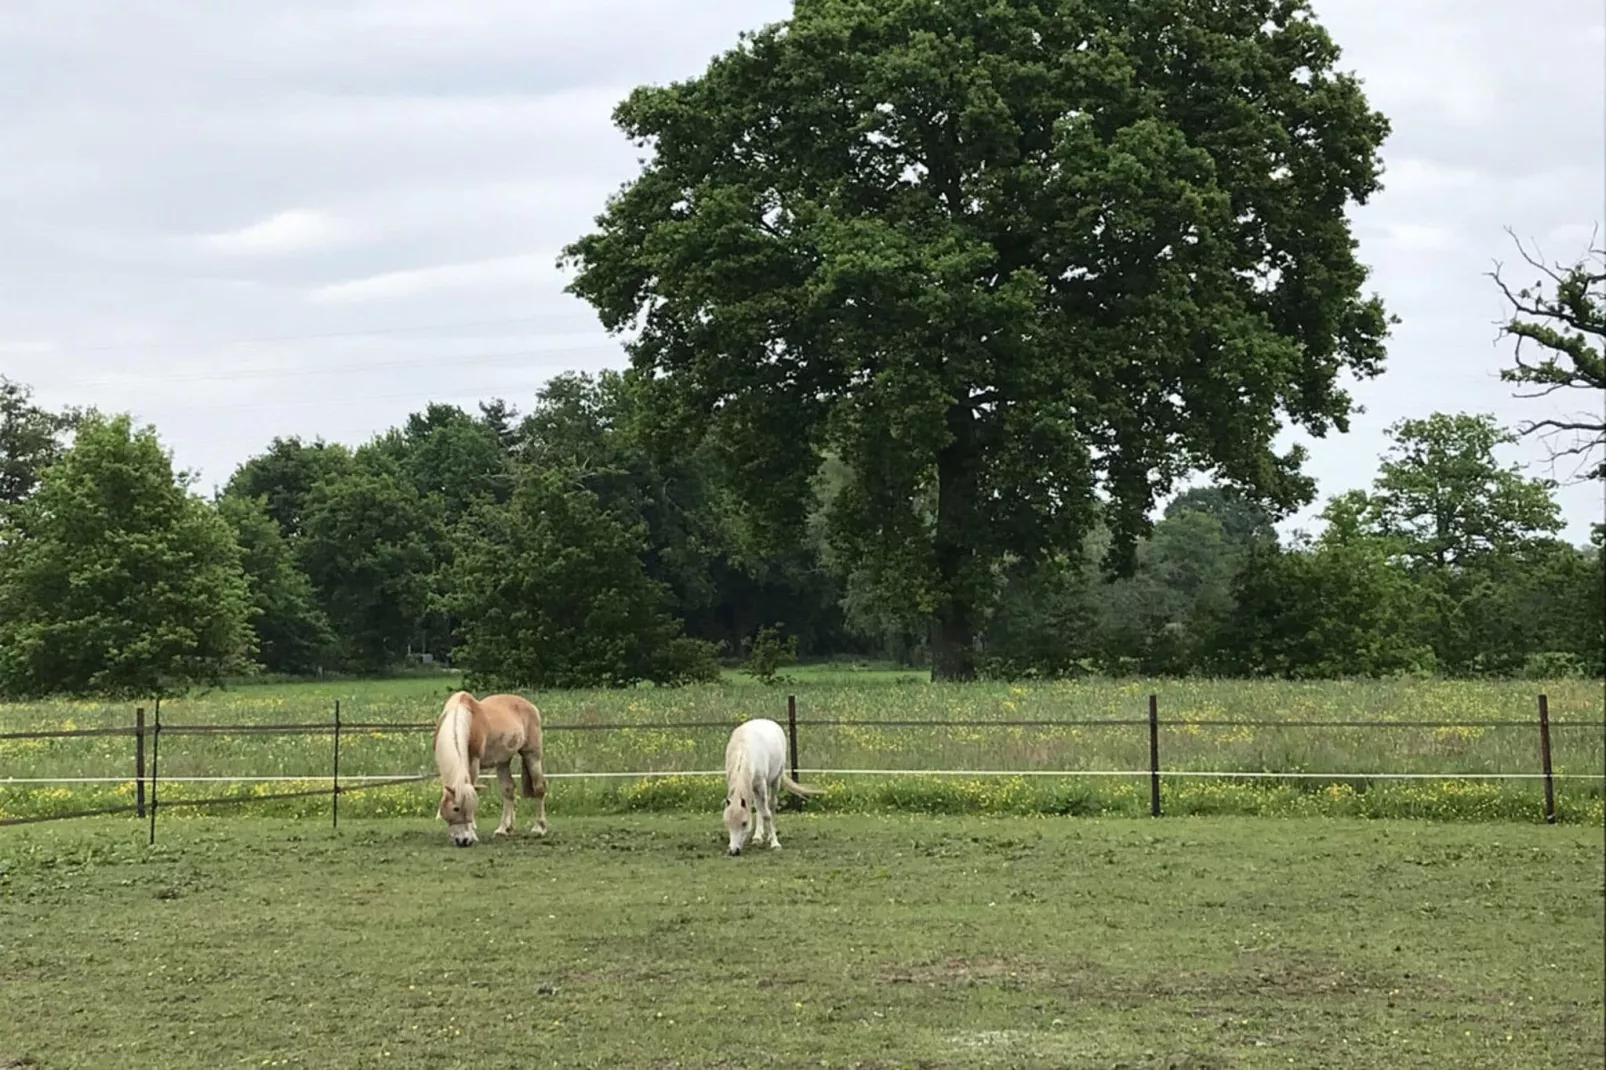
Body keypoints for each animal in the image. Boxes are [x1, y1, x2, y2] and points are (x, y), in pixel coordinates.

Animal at [430, 687, 549, 848]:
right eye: (455, 808)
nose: (464, 841)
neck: (461, 720)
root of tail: (530, 705)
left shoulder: (473, 761)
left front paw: (474, 835)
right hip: (503, 761)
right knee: (508, 789)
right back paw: (503, 829)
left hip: (532, 755)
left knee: (539, 787)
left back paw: (539, 828)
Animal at [722, 713, 822, 854]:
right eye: (727, 823)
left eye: (744, 823)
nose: (733, 851)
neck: (743, 750)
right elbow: (759, 809)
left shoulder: (761, 785)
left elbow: (767, 814)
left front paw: (775, 843)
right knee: (759, 807)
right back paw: (757, 837)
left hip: (775, 780)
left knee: (771, 804)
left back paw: (769, 835)